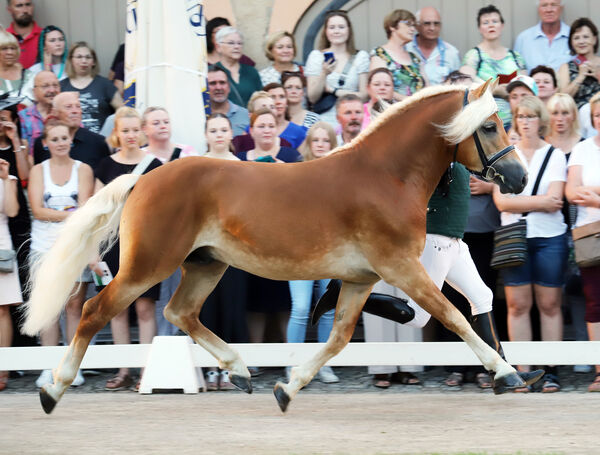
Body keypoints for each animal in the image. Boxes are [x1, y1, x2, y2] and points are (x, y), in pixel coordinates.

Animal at [25, 79, 528, 416]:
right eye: (490, 126)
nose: (520, 178)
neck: (387, 176)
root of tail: (143, 177)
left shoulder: (361, 278)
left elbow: (339, 336)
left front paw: (287, 388)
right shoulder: (402, 267)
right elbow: (452, 316)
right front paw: (506, 374)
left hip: (205, 265)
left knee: (180, 313)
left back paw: (240, 370)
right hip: (147, 266)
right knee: (94, 311)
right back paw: (52, 390)